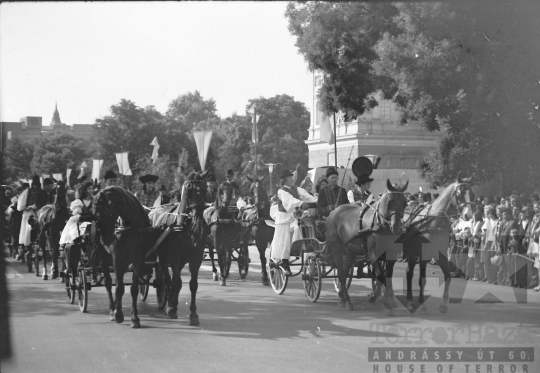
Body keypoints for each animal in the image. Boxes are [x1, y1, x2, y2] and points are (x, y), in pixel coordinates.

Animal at [90, 185, 157, 326]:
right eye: (95, 215)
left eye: (105, 213)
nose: (105, 240)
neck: (131, 226)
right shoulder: (117, 258)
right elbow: (119, 287)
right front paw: (118, 314)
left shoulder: (138, 259)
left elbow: (134, 289)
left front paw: (135, 318)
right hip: (104, 258)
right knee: (109, 283)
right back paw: (112, 309)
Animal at [151, 169, 210, 322]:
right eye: (189, 189)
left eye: (204, 189)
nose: (197, 214)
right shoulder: (175, 258)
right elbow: (176, 282)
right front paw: (171, 308)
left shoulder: (196, 259)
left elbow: (193, 285)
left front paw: (193, 314)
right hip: (163, 258)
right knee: (168, 280)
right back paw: (169, 304)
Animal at [324, 180, 410, 310]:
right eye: (389, 201)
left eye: (404, 202)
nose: (396, 227)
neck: (381, 223)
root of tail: (333, 212)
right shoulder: (373, 253)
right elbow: (379, 274)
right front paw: (378, 297)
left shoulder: (390, 253)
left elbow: (387, 274)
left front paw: (386, 297)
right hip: (337, 249)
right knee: (341, 274)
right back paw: (346, 301)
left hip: (350, 250)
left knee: (344, 272)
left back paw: (344, 299)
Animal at [388, 173, 472, 312]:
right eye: (459, 193)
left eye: (472, 193)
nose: (468, 215)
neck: (434, 221)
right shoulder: (421, 254)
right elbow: (418, 277)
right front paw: (416, 302)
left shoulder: (441, 253)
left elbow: (446, 275)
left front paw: (443, 304)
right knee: (397, 271)